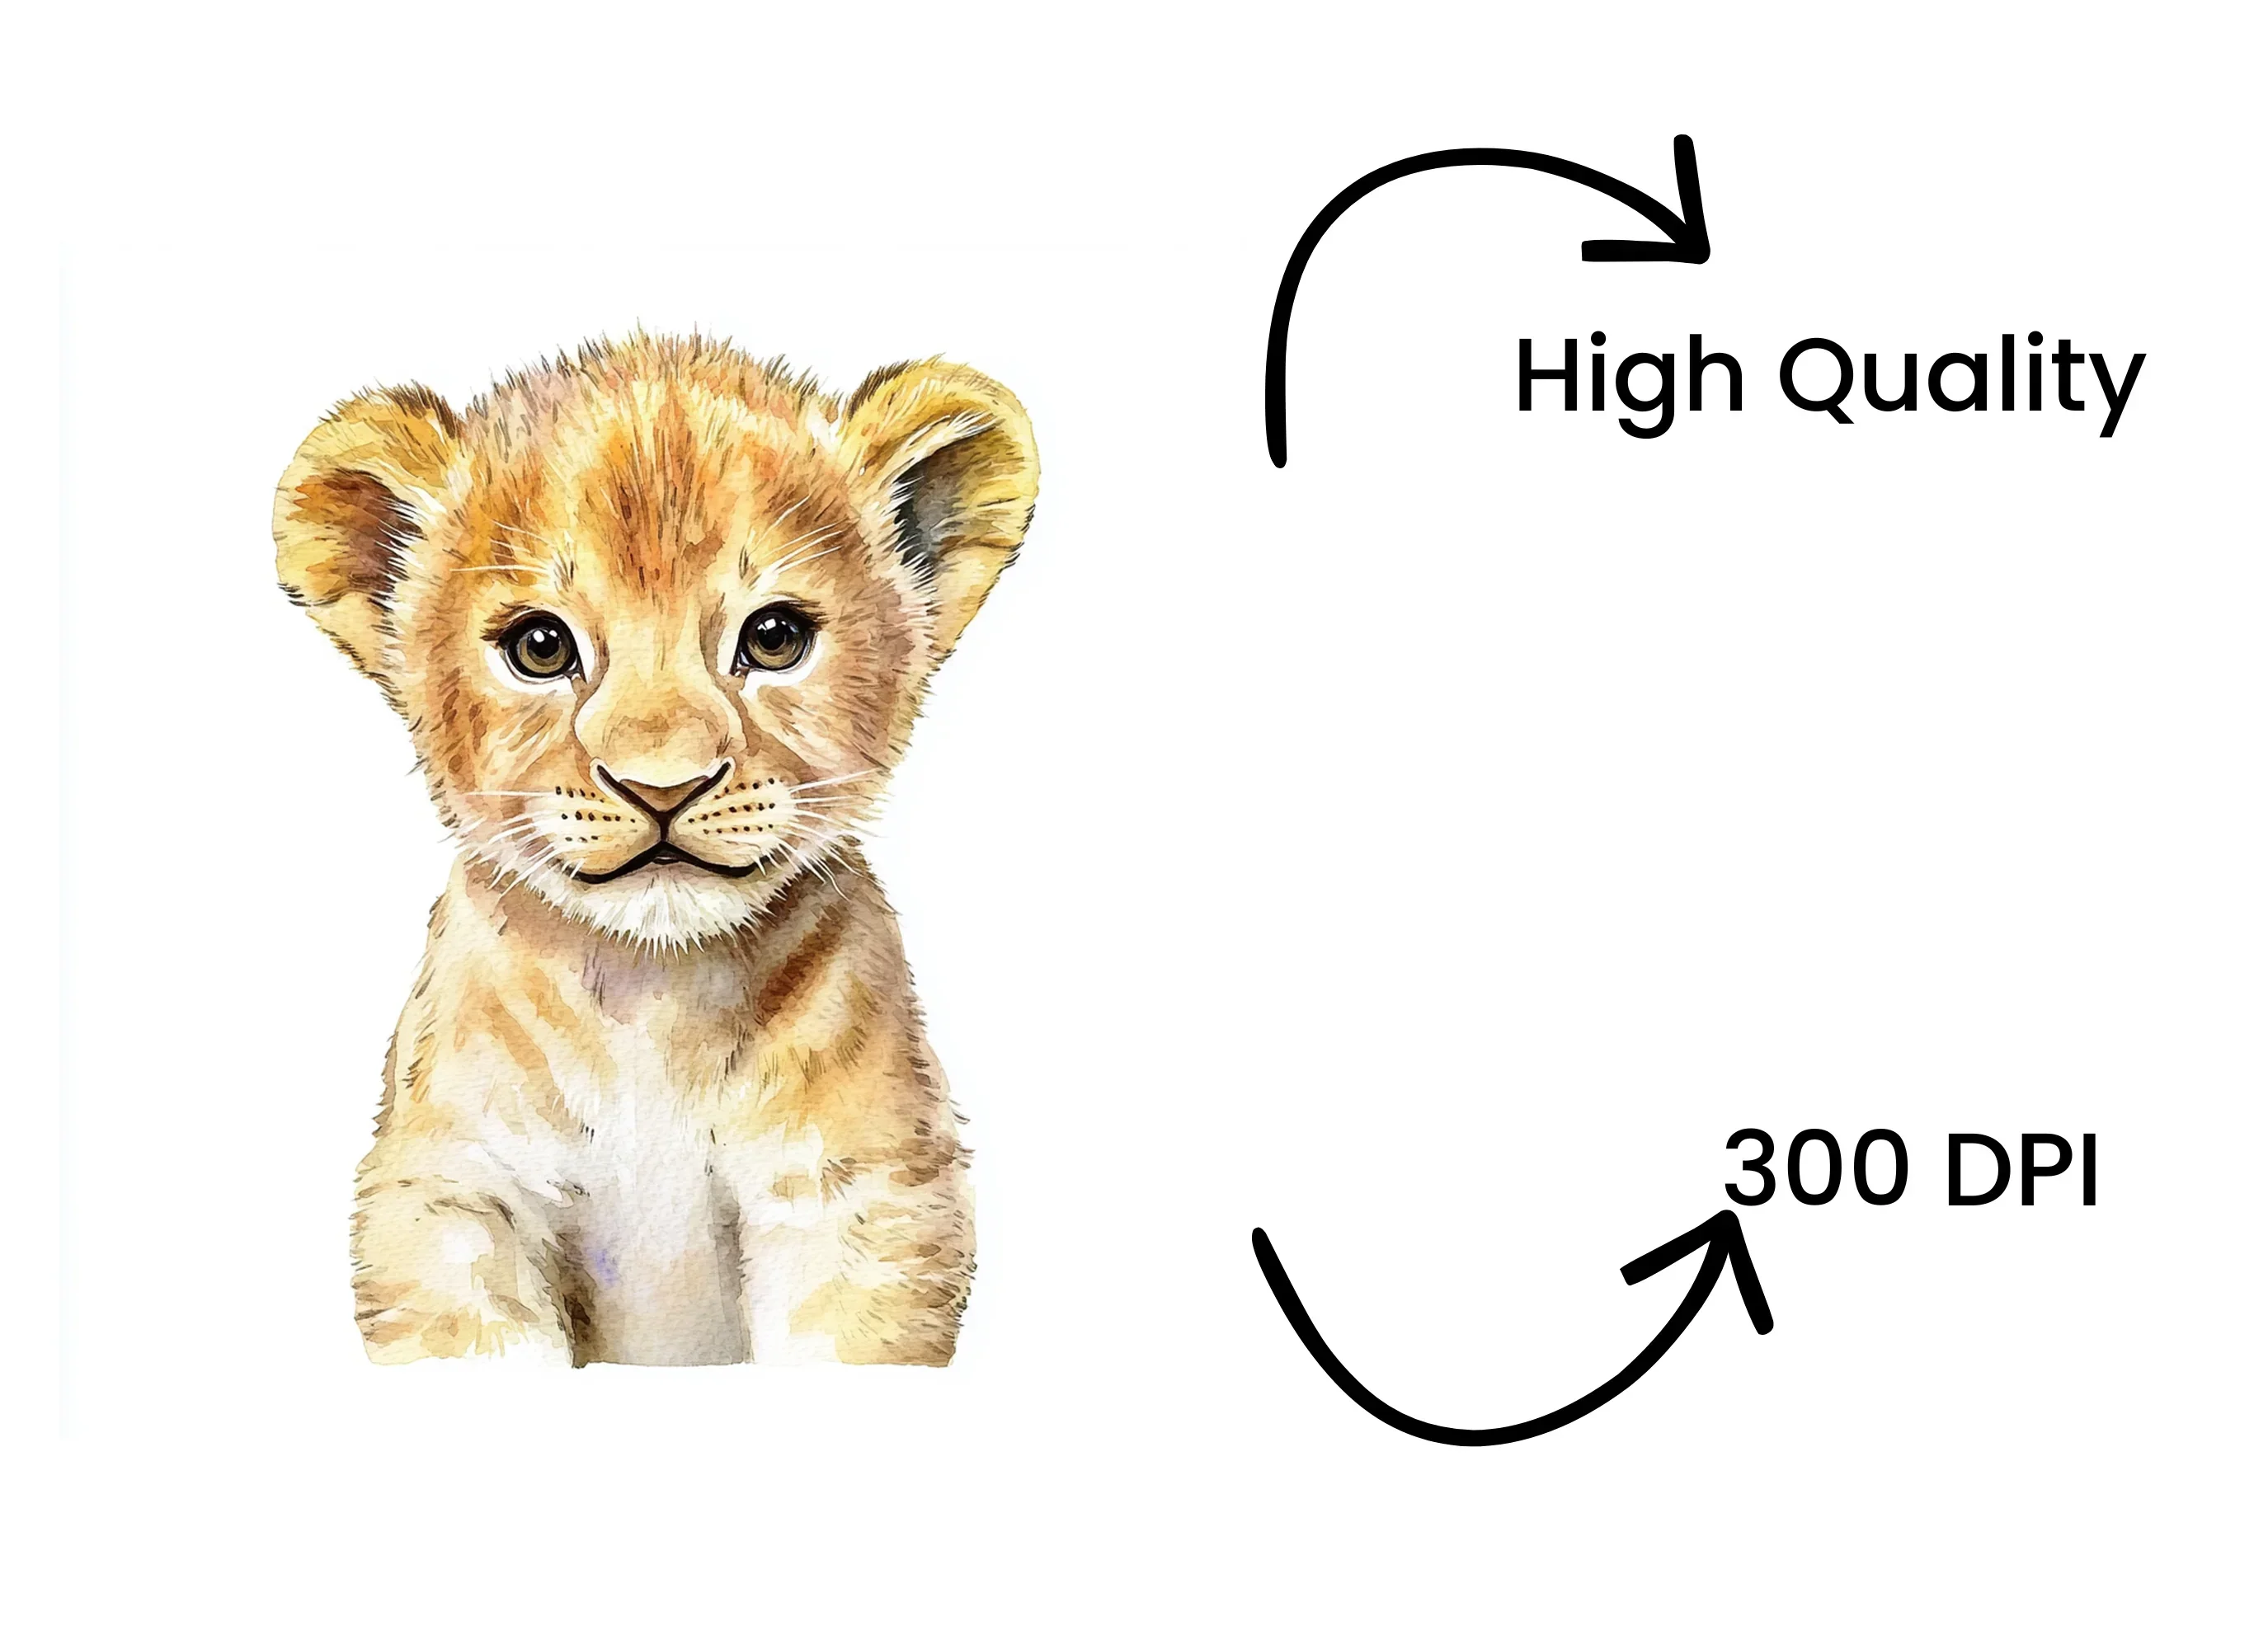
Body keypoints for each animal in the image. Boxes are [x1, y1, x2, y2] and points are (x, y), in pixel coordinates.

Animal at [272, 334, 1037, 1365]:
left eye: (775, 635)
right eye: (540, 646)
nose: (662, 786)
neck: (653, 1005)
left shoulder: (862, 1198)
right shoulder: (447, 1196)